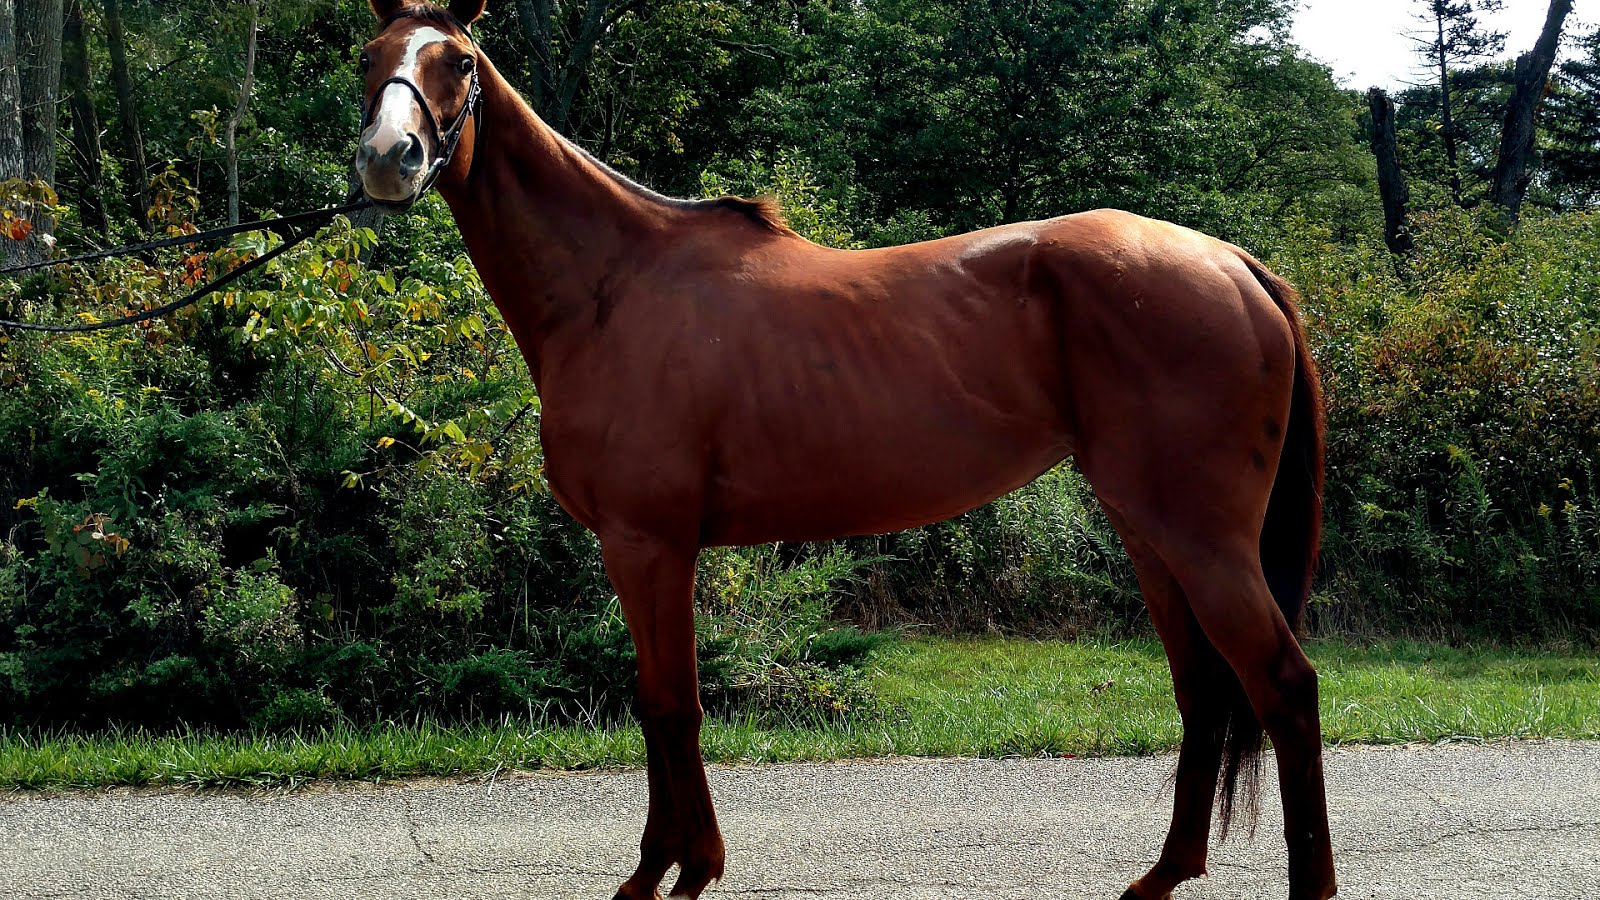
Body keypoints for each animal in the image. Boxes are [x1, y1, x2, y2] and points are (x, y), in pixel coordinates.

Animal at [353, 3, 1337, 898]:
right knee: (1203, 690)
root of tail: (1234, 264)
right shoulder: (651, 548)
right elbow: (660, 703)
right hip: (1150, 533)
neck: (613, 288)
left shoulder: (646, 543)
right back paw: (1163, 874)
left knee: (1283, 685)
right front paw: (675, 864)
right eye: (370, 54)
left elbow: (670, 705)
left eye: (457, 60)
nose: (389, 159)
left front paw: (673, 870)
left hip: (1202, 539)